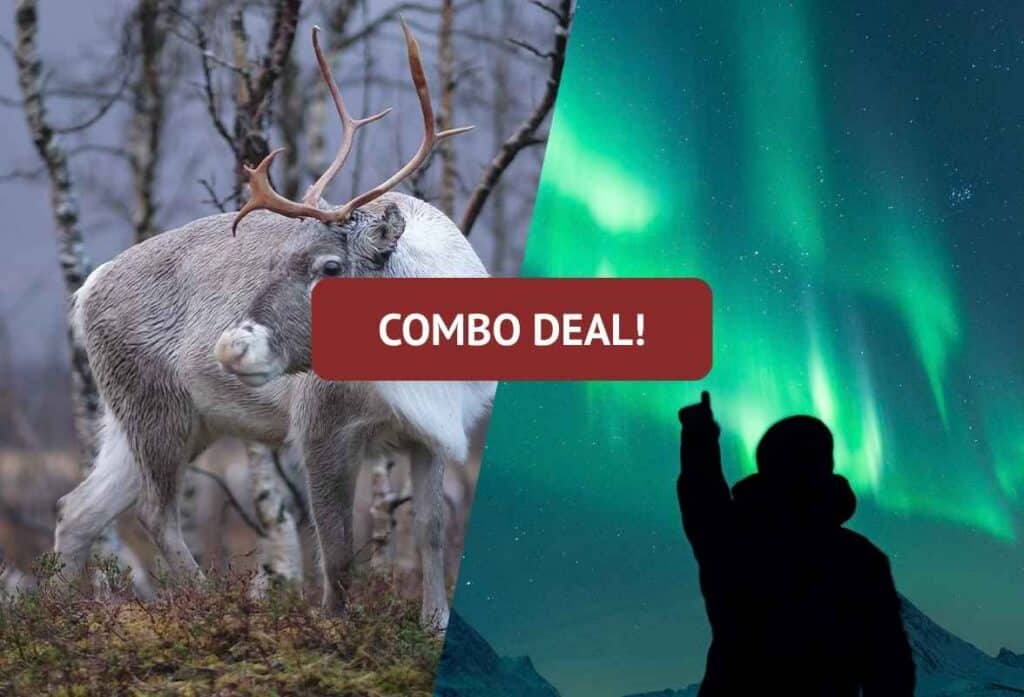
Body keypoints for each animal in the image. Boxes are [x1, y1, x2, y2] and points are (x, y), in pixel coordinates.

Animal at [53, 21, 495, 631]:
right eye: (276, 258)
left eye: (330, 267)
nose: (232, 346)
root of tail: (87, 288)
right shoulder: (319, 426)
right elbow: (336, 547)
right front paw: (335, 627)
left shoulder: (432, 432)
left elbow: (431, 530)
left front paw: (436, 626)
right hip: (155, 409)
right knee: (153, 511)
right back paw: (211, 604)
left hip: (160, 420)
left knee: (77, 509)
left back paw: (57, 616)